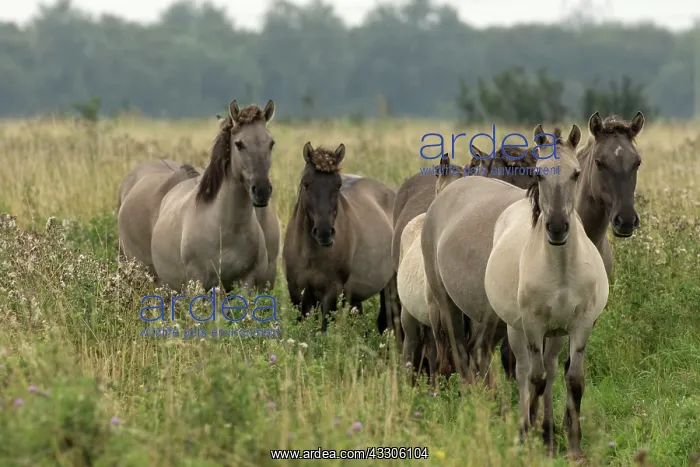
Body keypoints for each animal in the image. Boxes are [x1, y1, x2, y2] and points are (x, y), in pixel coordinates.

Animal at [142, 99, 280, 293]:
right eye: (239, 144)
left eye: (271, 143)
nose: (262, 191)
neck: (225, 229)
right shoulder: (197, 281)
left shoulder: (246, 281)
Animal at [282, 142, 396, 333]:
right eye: (306, 183)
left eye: (338, 185)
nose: (324, 232)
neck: (310, 253)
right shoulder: (297, 292)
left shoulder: (331, 292)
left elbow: (322, 330)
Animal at [484, 125, 609, 459]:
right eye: (539, 174)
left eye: (576, 174)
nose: (557, 227)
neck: (562, 269)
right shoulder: (533, 325)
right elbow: (534, 379)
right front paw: (528, 438)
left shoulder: (580, 325)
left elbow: (574, 381)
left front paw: (574, 448)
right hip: (518, 331)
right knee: (525, 373)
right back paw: (527, 429)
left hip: (556, 335)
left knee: (552, 371)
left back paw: (550, 434)